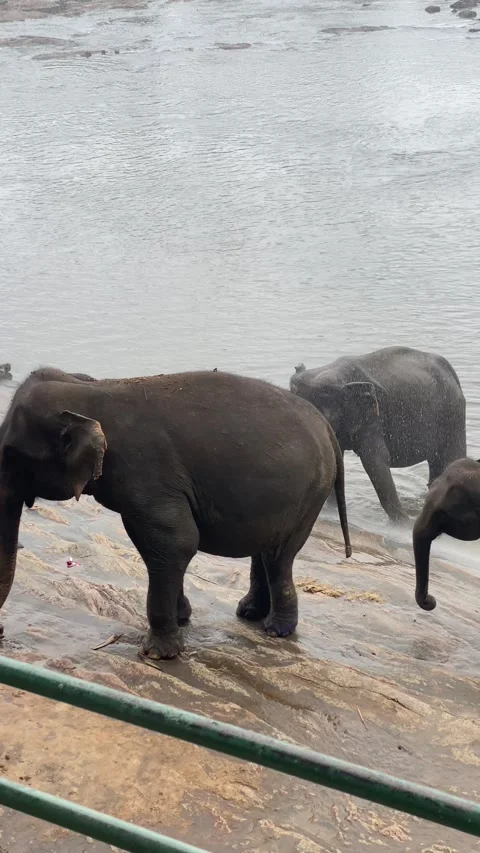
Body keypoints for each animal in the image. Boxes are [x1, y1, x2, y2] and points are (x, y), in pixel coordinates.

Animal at [0, 367, 351, 660]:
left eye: (12, 456)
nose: (3, 632)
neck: (92, 389)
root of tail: (327, 428)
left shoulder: (147, 472)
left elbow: (176, 542)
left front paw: (158, 655)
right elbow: (158, 546)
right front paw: (181, 619)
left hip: (310, 493)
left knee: (280, 556)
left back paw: (276, 630)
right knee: (266, 551)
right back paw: (250, 613)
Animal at [290, 347, 466, 523]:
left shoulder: (373, 416)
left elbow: (374, 460)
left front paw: (403, 525)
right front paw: (332, 512)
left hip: (452, 414)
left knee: (452, 459)